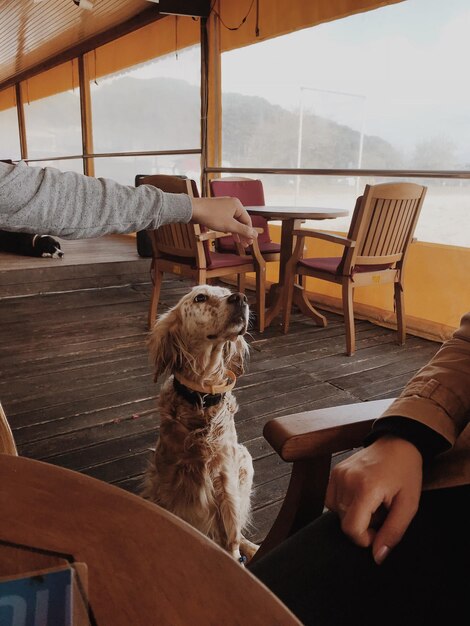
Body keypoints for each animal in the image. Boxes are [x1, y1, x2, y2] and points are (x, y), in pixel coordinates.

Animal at [143, 282, 260, 560]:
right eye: (200, 298)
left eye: (227, 292)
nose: (241, 298)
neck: (201, 397)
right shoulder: (165, 479)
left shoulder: (225, 480)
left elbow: (232, 538)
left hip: (245, 458)